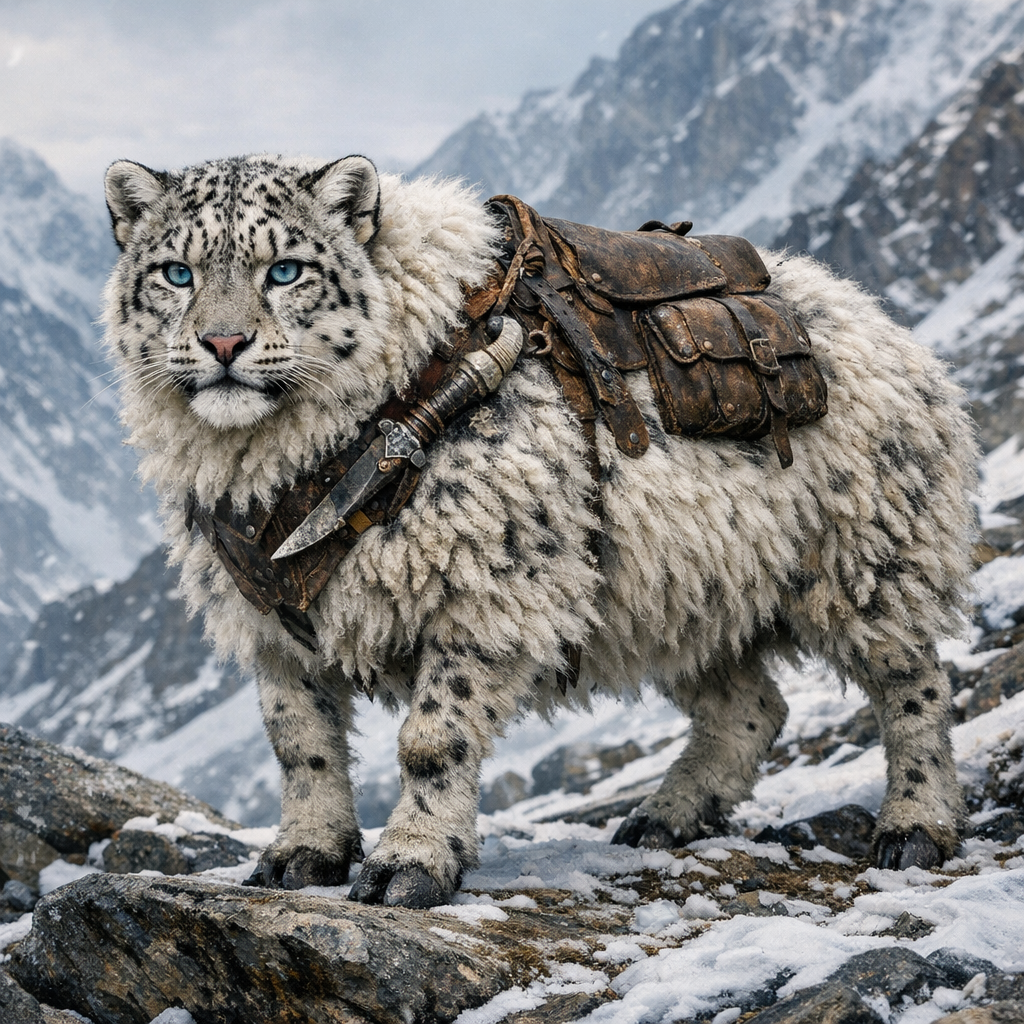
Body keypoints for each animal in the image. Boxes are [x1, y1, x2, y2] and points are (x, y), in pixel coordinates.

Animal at [102, 153, 978, 909]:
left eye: (285, 269)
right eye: (176, 271)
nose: (223, 344)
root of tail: (891, 327)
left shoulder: (483, 587)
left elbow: (433, 737)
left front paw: (408, 865)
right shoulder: (273, 620)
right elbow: (301, 743)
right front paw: (300, 856)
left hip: (871, 559)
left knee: (916, 687)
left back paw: (916, 826)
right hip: (689, 594)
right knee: (752, 707)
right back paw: (664, 817)